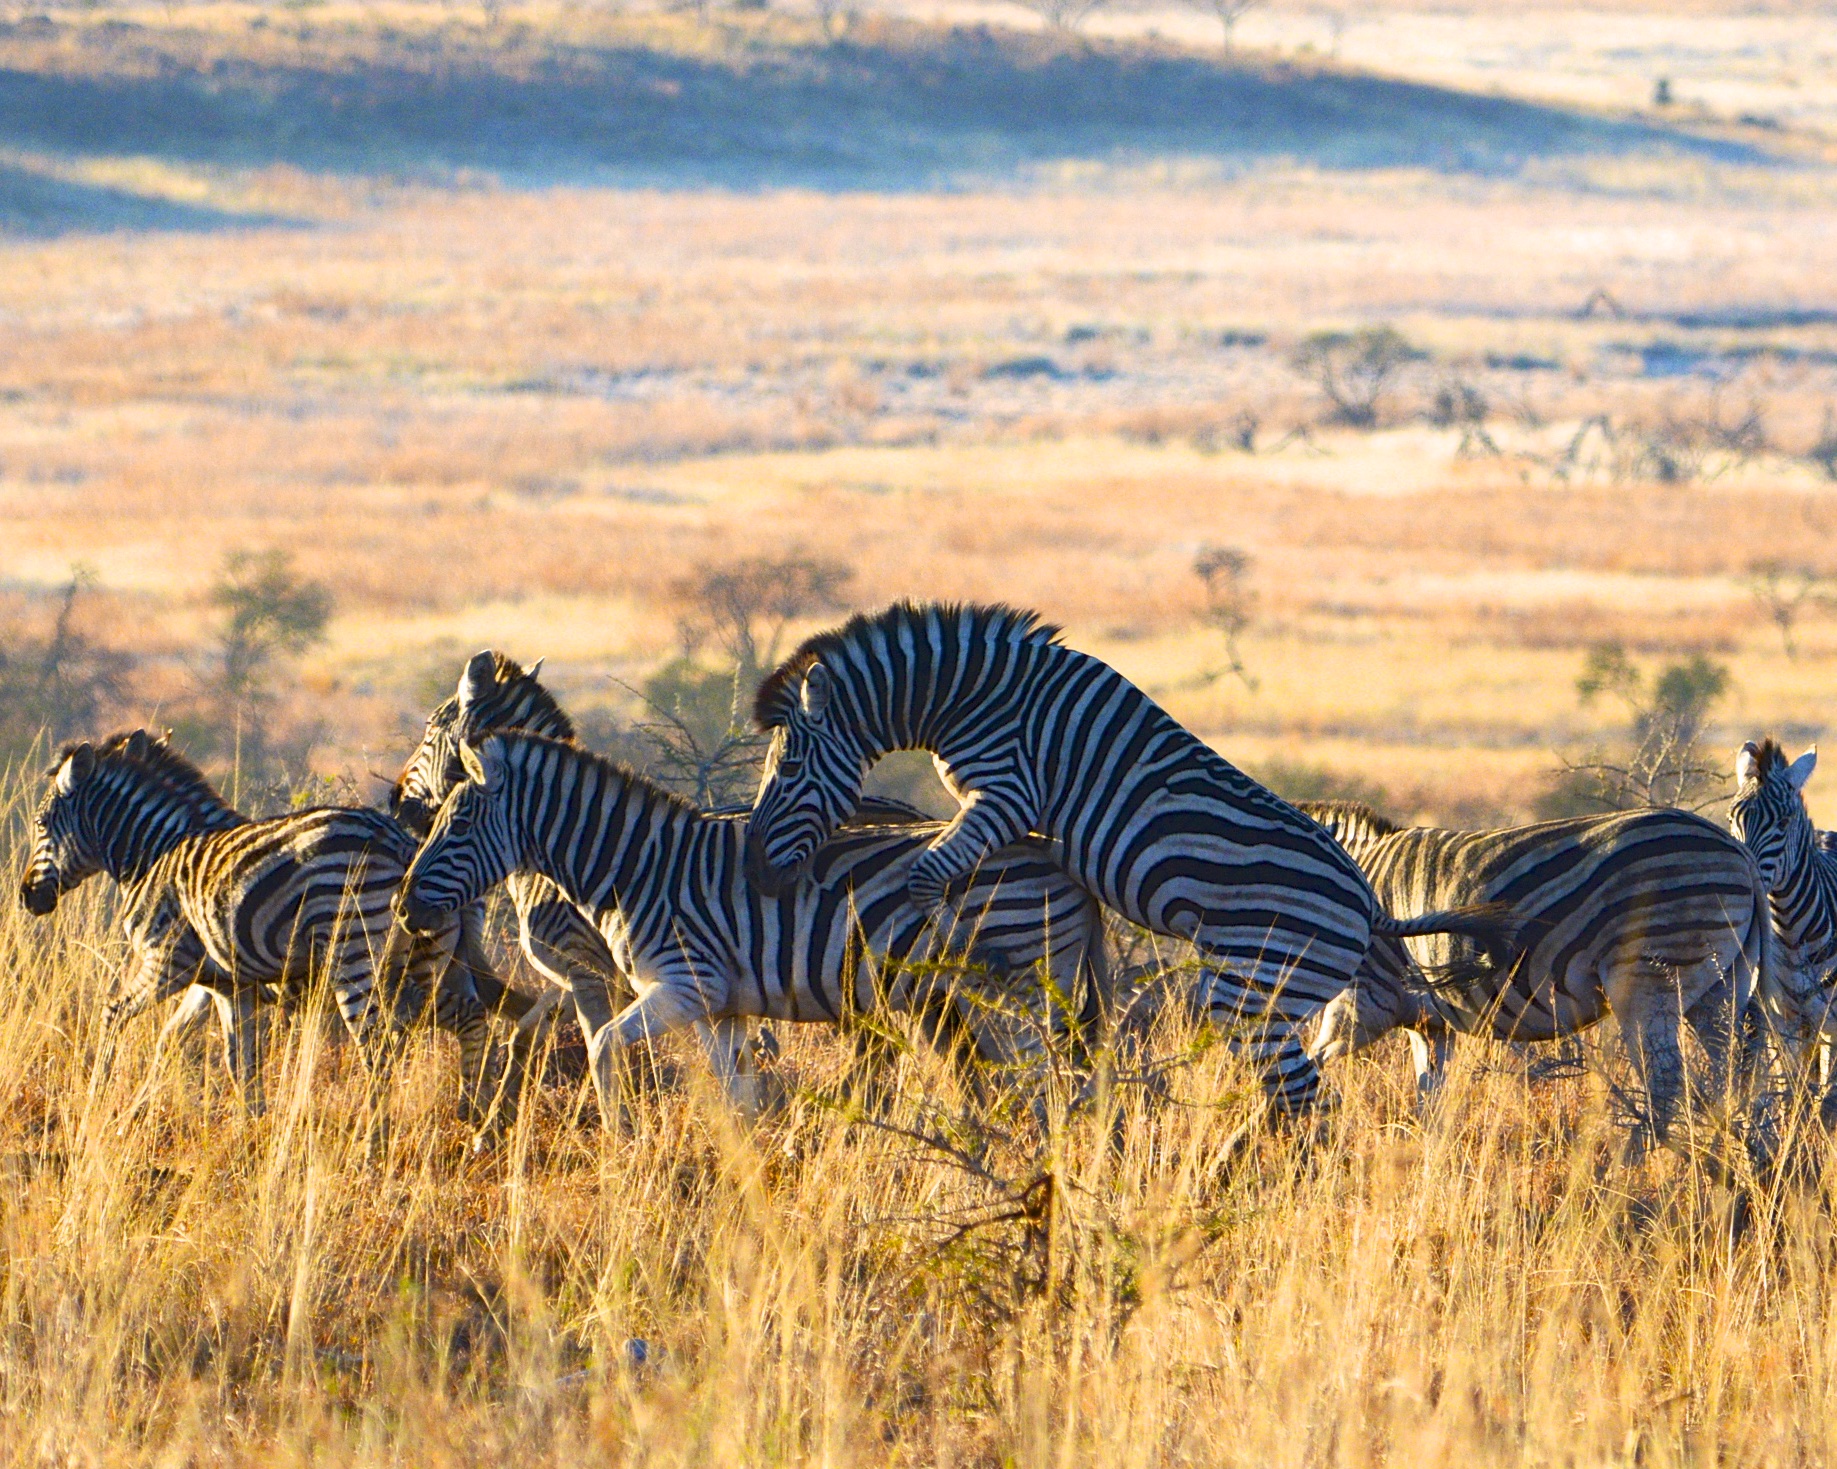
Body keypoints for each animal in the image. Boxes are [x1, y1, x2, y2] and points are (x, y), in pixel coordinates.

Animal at [19, 730, 496, 1123]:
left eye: (40, 824)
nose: (26, 896)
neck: (155, 853)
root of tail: (402, 843)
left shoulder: (168, 959)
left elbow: (113, 1013)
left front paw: (98, 1097)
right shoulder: (224, 983)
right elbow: (224, 1057)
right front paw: (251, 1129)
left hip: (354, 955)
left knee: (379, 1049)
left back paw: (373, 1140)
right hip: (424, 963)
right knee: (470, 1018)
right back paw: (472, 1115)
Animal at [393, 730, 1108, 1116]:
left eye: (458, 824)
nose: (403, 908)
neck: (638, 869)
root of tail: (1056, 855)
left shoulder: (686, 986)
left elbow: (602, 1049)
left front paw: (624, 1141)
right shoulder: (722, 1006)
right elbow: (738, 1096)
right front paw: (745, 1184)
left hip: (1024, 984)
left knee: (1049, 1084)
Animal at [741, 601, 1516, 1115]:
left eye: (786, 770)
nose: (754, 871)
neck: (970, 695)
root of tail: (1368, 903)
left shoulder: (1006, 792)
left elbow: (926, 874)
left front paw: (947, 949)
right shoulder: (1010, 813)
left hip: (1254, 995)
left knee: (1304, 1104)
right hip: (1267, 998)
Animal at [1298, 800, 1772, 1157]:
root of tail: (1738, 851)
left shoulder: (1364, 1000)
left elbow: (1311, 1060)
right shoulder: (1429, 1024)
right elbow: (1429, 1099)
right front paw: (1432, 1167)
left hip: (1647, 982)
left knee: (1667, 1086)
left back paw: (1619, 1176)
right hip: (1722, 987)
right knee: (1737, 1079)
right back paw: (1746, 1166)